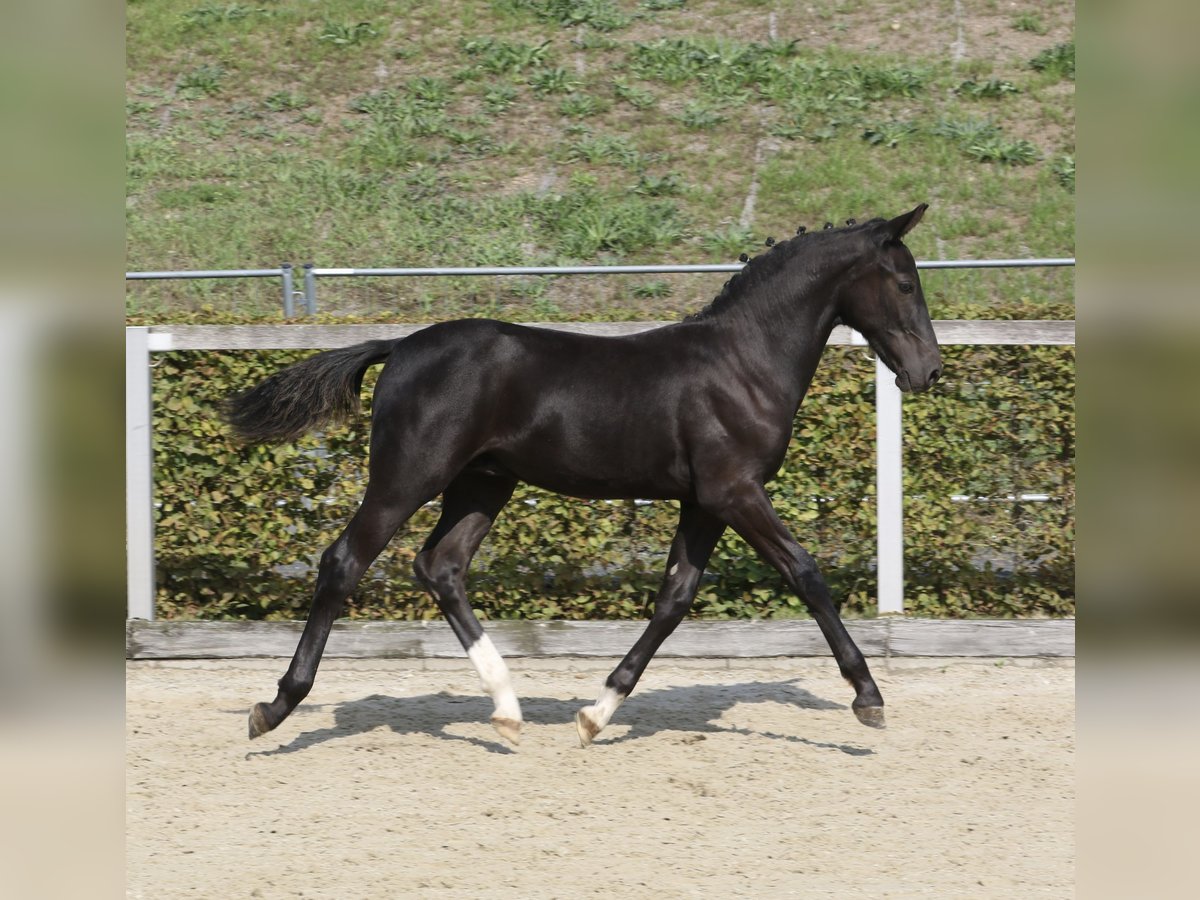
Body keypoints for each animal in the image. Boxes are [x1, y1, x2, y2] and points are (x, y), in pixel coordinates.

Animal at [223, 202, 936, 748]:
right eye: (905, 283)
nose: (927, 370)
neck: (743, 363)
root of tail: (399, 347)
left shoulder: (705, 501)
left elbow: (675, 597)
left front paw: (596, 714)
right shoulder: (735, 491)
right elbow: (805, 573)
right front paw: (868, 697)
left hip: (483, 483)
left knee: (440, 566)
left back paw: (508, 710)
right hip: (407, 477)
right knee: (344, 561)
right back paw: (275, 707)